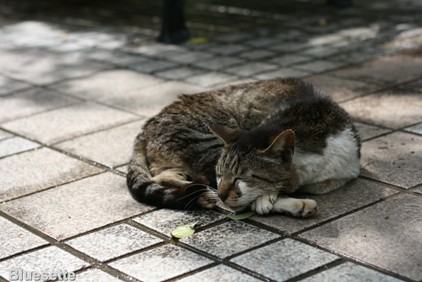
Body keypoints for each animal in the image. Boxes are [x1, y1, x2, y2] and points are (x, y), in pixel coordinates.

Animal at [125, 77, 360, 218]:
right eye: (221, 174)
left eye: (240, 177)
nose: (221, 192)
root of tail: (146, 126)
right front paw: (268, 200)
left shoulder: (345, 170)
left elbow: (320, 185)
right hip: (209, 139)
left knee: (163, 176)